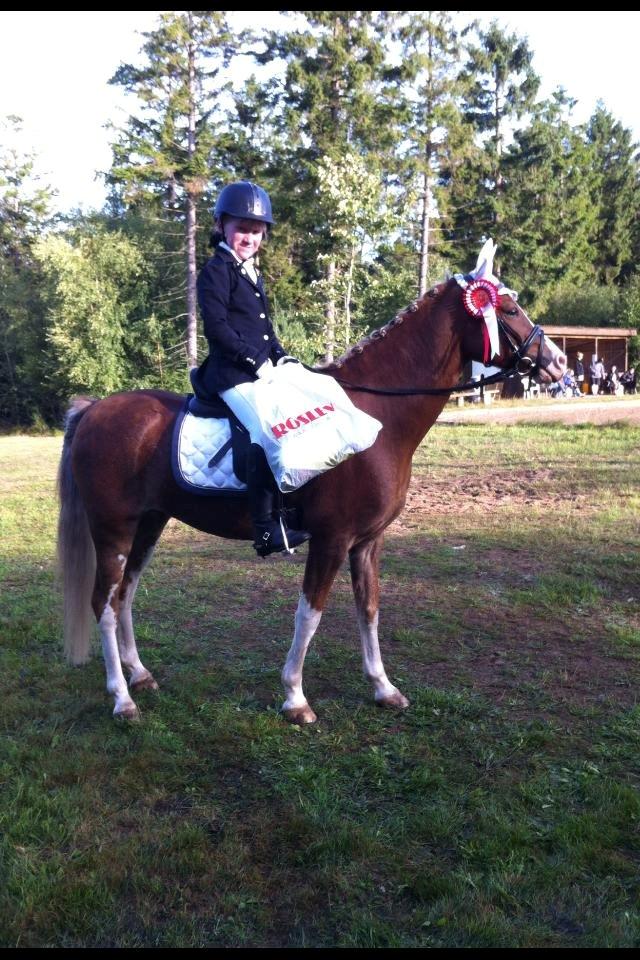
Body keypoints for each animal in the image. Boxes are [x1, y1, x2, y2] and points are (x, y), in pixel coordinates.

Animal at [57, 240, 567, 723]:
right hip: (113, 529)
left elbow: (369, 609)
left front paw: (383, 688)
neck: (378, 415)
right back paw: (122, 700)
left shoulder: (367, 541)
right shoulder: (332, 538)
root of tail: (94, 410)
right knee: (103, 602)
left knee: (125, 594)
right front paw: (295, 698)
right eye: (509, 309)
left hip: (149, 524)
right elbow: (311, 613)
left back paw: (139, 676)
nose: (559, 363)